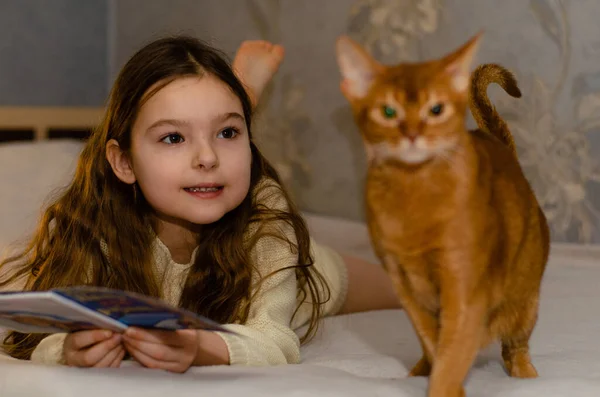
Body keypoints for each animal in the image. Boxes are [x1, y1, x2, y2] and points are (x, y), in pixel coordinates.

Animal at [336, 33, 552, 396]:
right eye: (388, 111)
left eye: (436, 109)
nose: (412, 133)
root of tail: (498, 147)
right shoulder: (404, 286)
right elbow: (434, 344)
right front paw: (437, 379)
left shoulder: (462, 285)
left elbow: (453, 351)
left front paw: (446, 385)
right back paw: (417, 371)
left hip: (524, 300)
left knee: (515, 346)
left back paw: (528, 377)